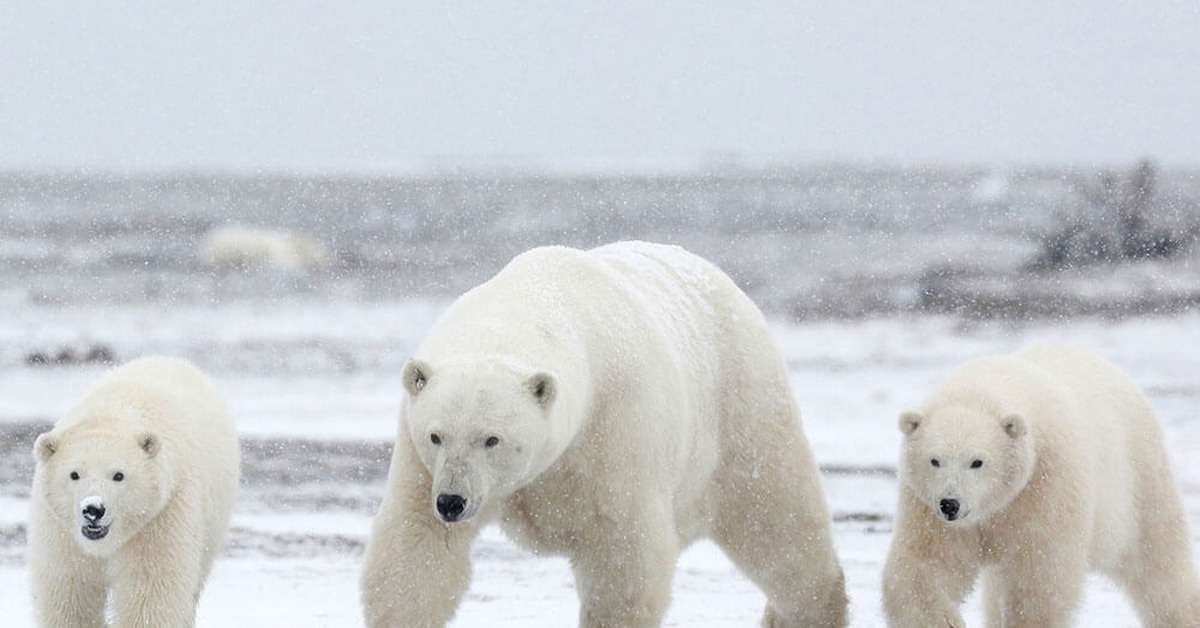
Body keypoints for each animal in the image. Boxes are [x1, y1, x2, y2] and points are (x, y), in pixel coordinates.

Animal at [29, 357, 241, 628]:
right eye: (74, 474)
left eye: (118, 475)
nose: (93, 509)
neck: (114, 413)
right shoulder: (61, 531)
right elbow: (71, 591)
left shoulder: (161, 516)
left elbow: (150, 591)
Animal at [360, 242, 849, 628]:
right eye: (436, 435)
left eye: (492, 439)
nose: (452, 501)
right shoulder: (420, 461)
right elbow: (416, 547)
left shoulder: (614, 426)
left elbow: (623, 552)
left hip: (742, 410)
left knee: (778, 525)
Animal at [883, 343, 1200, 628]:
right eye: (934, 460)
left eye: (977, 461)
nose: (950, 504)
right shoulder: (929, 510)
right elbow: (925, 564)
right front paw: (947, 621)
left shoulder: (1045, 484)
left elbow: (1040, 578)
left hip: (1137, 476)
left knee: (1159, 559)